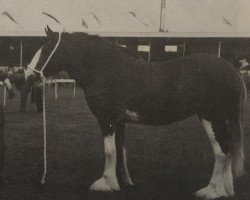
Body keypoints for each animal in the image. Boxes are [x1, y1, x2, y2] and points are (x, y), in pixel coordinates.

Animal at [25, 25, 246, 199]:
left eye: (45, 50)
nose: (28, 75)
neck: (105, 68)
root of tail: (233, 71)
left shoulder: (106, 119)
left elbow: (109, 150)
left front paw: (105, 183)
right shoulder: (119, 121)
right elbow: (120, 150)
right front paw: (123, 181)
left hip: (212, 118)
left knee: (221, 151)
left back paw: (211, 191)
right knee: (228, 149)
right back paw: (225, 190)